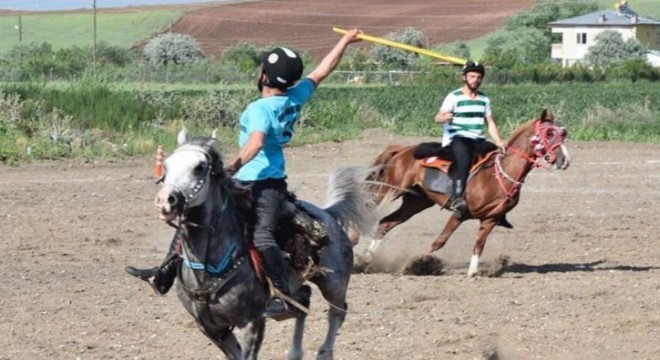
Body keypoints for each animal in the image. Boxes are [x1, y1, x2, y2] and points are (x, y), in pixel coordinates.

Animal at [151, 136, 376, 360]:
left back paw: (324, 353)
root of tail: (327, 214)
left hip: (334, 282)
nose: (165, 200)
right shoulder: (211, 329)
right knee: (304, 302)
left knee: (337, 312)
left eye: (199, 167)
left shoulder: (253, 321)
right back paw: (294, 353)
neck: (207, 268)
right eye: (166, 166)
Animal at [364, 109, 568, 276]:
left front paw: (473, 272)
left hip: (416, 202)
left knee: (385, 223)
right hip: (390, 189)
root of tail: (403, 150)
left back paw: (367, 259)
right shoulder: (460, 213)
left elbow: (479, 245)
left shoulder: (491, 219)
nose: (564, 160)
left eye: (564, 133)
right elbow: (440, 241)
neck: (496, 176)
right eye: (549, 133)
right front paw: (420, 262)